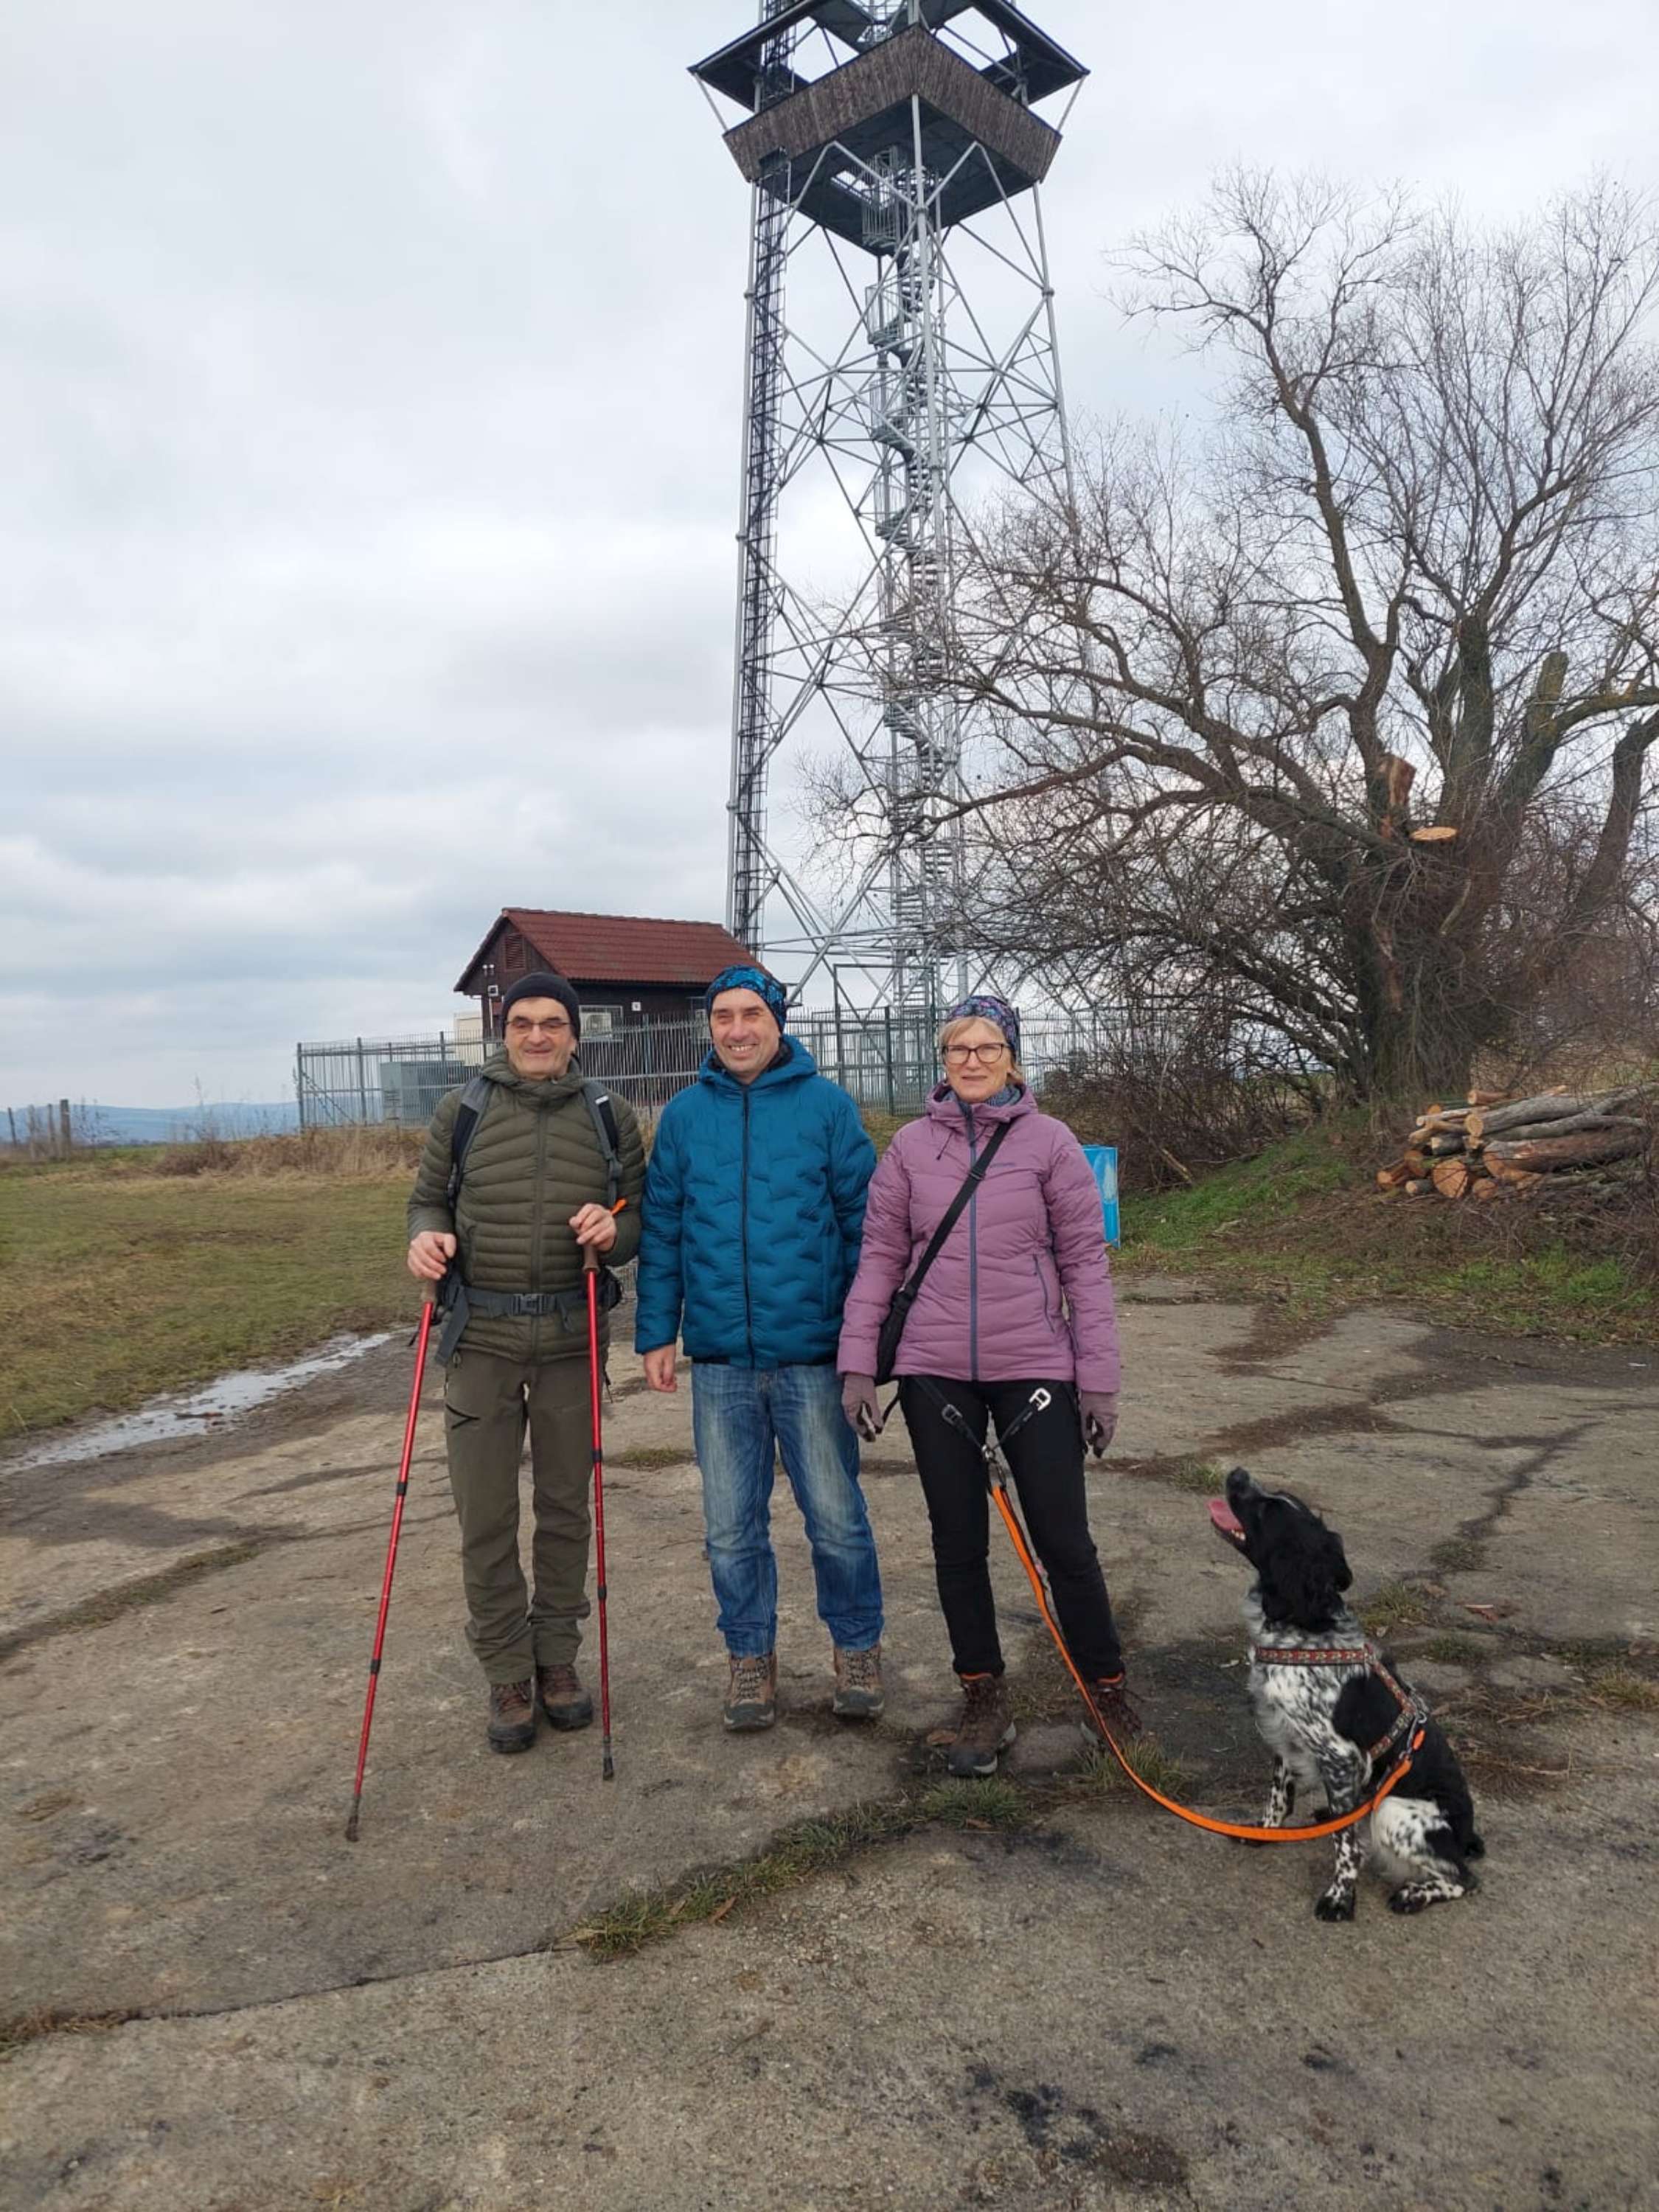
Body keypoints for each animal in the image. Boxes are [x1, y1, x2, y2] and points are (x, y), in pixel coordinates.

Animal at [1209, 1467, 1484, 1920]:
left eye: (1266, 1511)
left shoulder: (1339, 1756)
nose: (1238, 1473)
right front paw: (1266, 1833)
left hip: (1393, 1810)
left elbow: (1347, 1847)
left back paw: (1414, 1894)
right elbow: (1277, 1797)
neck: (1305, 1627)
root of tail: (1466, 1833)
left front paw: (1340, 1897)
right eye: (1272, 1495)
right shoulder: (1286, 1733)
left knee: (1463, 1876)